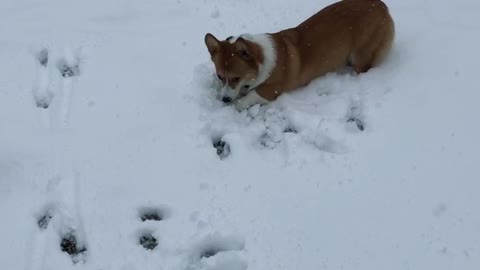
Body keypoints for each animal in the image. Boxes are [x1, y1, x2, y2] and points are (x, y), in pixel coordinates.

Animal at [202, 0, 394, 110]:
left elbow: (251, 95)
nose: (224, 100)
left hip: (361, 57)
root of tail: (382, 5)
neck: (262, 61)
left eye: (236, 78)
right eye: (220, 77)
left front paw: (237, 104)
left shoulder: (272, 90)